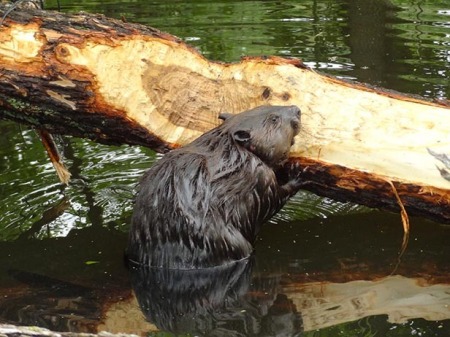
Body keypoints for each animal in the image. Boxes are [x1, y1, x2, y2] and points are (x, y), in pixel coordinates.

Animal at [126, 105, 302, 268]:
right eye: (274, 119)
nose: (297, 109)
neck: (231, 149)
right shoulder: (258, 176)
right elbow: (272, 202)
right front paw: (298, 174)